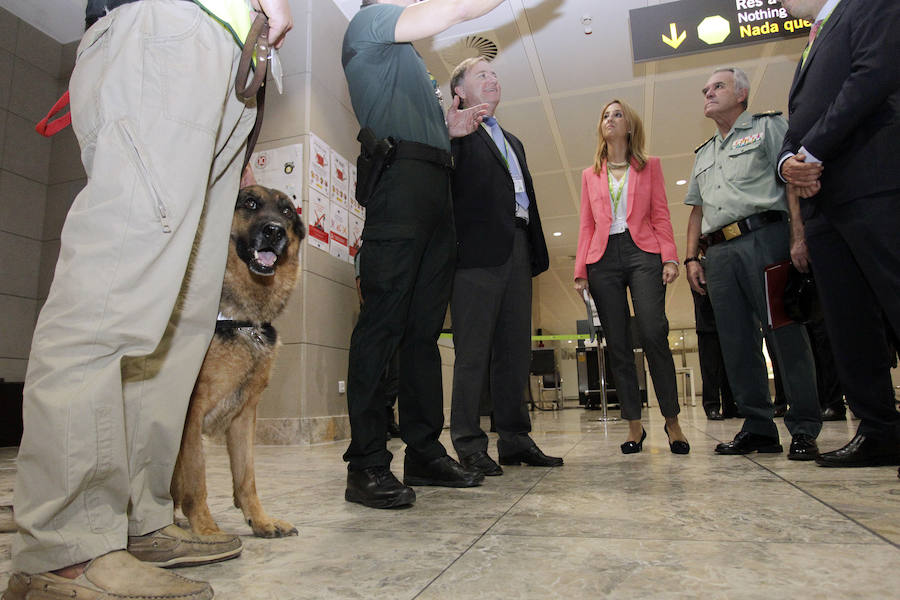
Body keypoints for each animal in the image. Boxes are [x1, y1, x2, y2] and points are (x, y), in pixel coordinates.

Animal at [172, 184, 306, 540]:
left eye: (287, 211)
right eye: (250, 203)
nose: (274, 231)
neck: (243, 321)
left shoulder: (245, 415)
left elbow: (246, 476)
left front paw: (260, 520)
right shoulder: (191, 412)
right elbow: (197, 475)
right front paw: (205, 527)